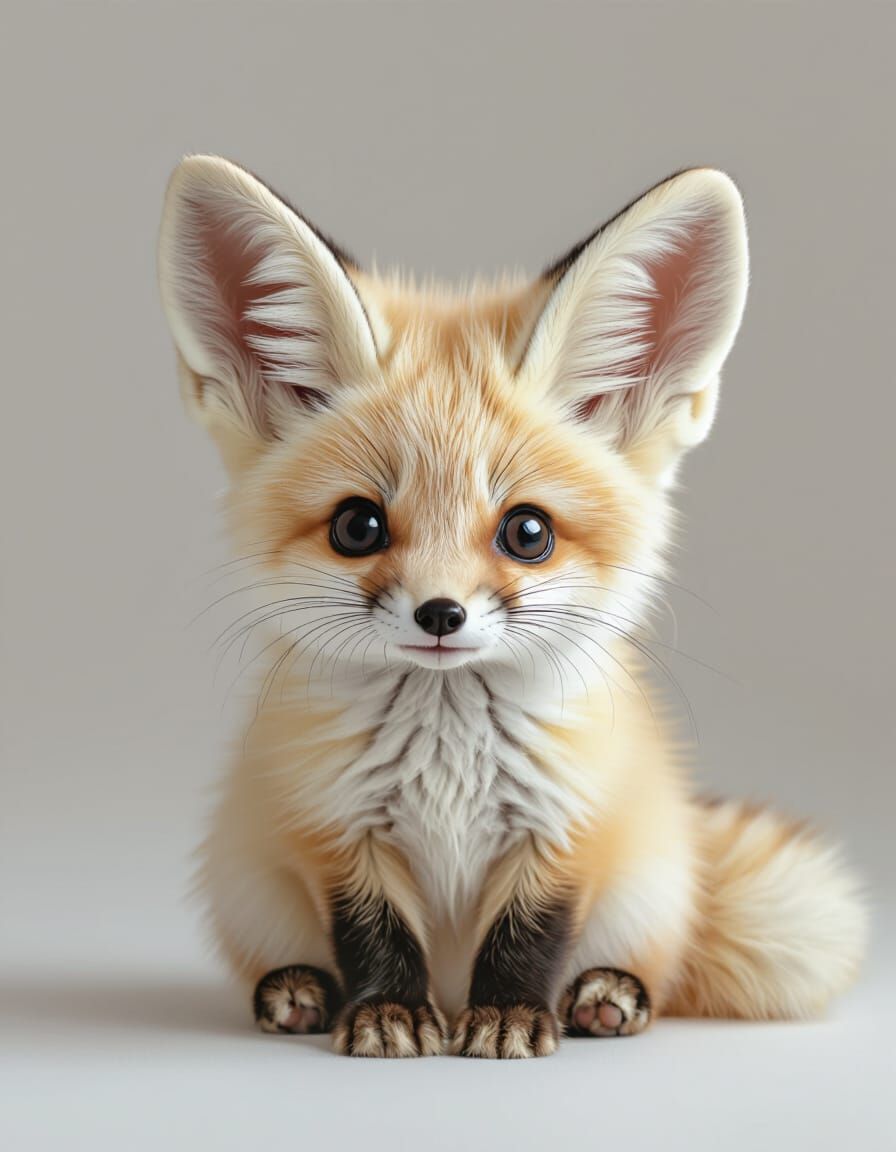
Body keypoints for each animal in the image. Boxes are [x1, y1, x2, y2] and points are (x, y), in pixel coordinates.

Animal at [157, 155, 866, 1057]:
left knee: (651, 969)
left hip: (649, 887)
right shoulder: (335, 827)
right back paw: (299, 989)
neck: (447, 757)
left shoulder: (569, 825)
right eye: (358, 526)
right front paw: (387, 1013)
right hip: (252, 886)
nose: (440, 614)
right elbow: (374, 934)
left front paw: (507, 1017)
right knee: (289, 956)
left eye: (528, 532)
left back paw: (605, 994)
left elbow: (529, 934)